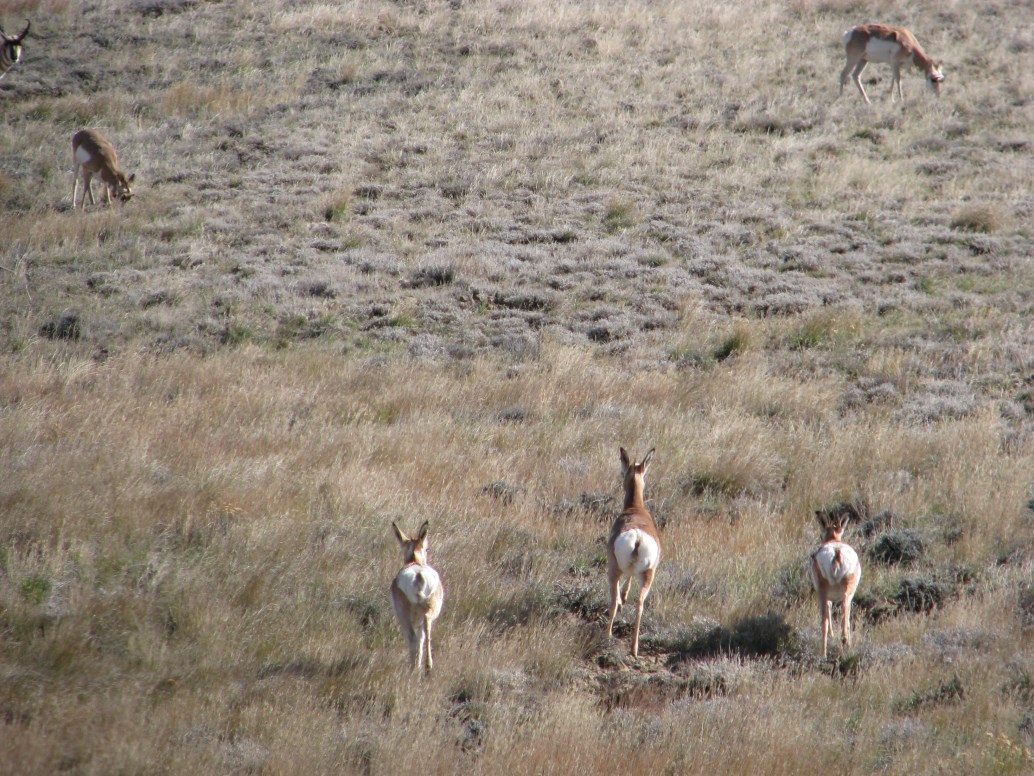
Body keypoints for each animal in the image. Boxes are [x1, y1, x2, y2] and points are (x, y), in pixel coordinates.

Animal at [390, 521, 444, 674]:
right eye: (427, 549)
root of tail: (418, 575)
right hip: (427, 610)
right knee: (426, 631)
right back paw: (427, 666)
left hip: (406, 618)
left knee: (414, 638)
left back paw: (415, 668)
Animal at [606, 447, 661, 659]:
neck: (635, 509)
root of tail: (637, 537)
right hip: (648, 576)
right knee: (640, 603)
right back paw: (634, 648)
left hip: (613, 570)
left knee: (613, 602)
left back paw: (607, 635)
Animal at [809, 508, 862, 658]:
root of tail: (836, 551)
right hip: (846, 592)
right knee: (844, 614)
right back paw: (844, 642)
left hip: (823, 594)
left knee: (824, 622)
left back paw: (823, 654)